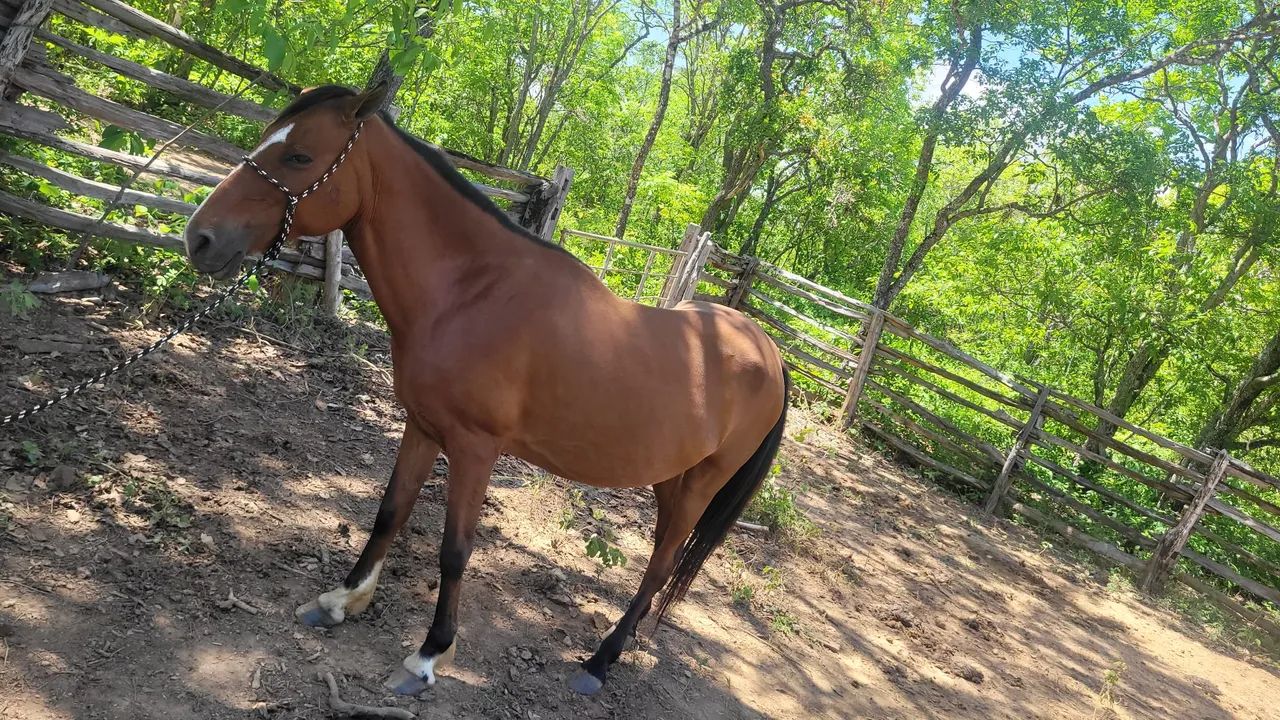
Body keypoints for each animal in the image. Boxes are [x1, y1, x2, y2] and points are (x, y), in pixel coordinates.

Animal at [182, 82, 789, 696]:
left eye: (300, 156)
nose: (199, 238)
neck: (473, 293)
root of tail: (768, 351)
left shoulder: (475, 449)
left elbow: (455, 551)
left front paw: (429, 655)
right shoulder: (422, 426)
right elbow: (390, 512)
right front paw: (341, 601)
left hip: (700, 487)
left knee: (661, 566)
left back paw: (598, 663)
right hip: (671, 480)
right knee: (662, 560)